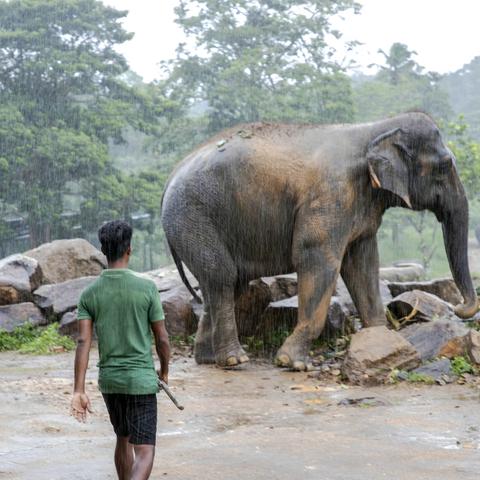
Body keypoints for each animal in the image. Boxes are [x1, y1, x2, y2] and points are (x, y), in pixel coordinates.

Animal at [162, 113, 480, 372]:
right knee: (223, 277)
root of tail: (171, 175)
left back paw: (208, 359)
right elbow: (318, 259)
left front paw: (384, 344)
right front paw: (292, 363)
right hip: (192, 217)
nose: (458, 308)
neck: (373, 128)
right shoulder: (332, 195)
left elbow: (363, 265)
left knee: (224, 282)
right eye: (445, 166)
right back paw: (234, 360)